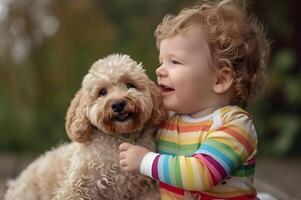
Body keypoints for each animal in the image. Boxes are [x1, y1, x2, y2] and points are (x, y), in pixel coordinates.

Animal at [4, 54, 166, 200]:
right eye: (102, 92)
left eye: (130, 85)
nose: (118, 104)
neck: (120, 138)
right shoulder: (78, 185)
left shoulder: (145, 190)